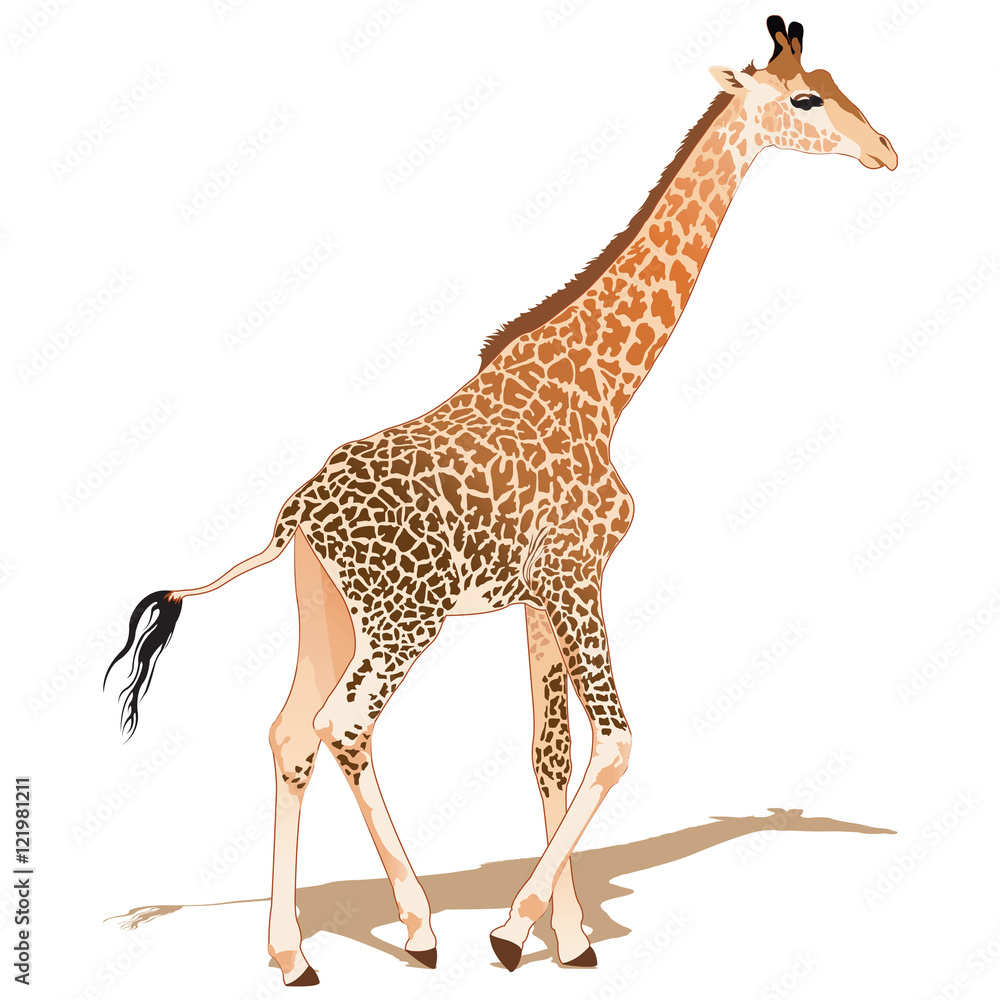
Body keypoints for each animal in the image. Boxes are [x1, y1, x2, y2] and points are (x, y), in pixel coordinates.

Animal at [104, 15, 896, 983]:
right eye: (807, 98)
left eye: (835, 81)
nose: (887, 150)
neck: (603, 383)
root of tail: (294, 517)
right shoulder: (578, 574)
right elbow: (617, 743)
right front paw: (515, 930)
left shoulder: (538, 595)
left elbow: (549, 753)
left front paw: (573, 939)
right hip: (404, 619)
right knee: (343, 727)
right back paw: (417, 929)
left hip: (327, 606)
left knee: (290, 732)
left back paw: (293, 953)